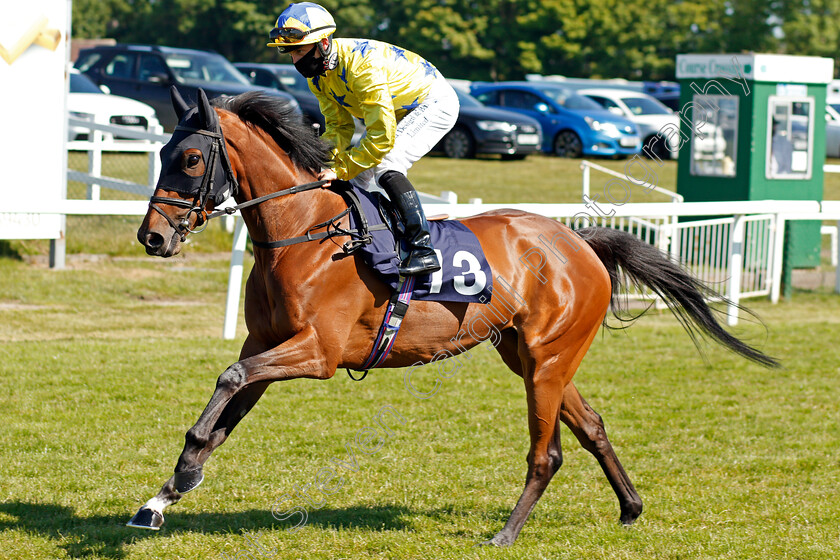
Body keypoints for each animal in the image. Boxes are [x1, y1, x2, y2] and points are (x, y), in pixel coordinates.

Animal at [131, 88, 780, 548]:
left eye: (191, 157)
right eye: (161, 153)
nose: (152, 237)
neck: (304, 235)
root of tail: (580, 242)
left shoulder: (317, 353)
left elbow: (229, 381)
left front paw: (181, 477)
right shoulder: (264, 342)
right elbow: (225, 409)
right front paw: (164, 496)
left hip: (547, 357)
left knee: (547, 452)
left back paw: (507, 532)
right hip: (528, 355)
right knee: (591, 424)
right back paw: (630, 507)